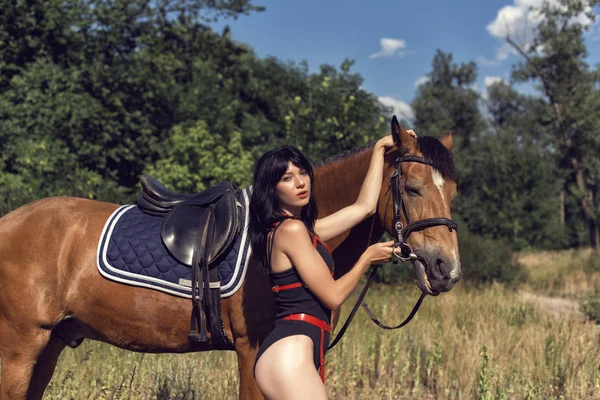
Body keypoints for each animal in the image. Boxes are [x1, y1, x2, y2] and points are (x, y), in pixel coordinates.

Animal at [0, 117, 462, 398]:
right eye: (413, 188)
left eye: (454, 191)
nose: (446, 269)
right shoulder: (252, 349)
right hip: (20, 349)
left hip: (50, 345)